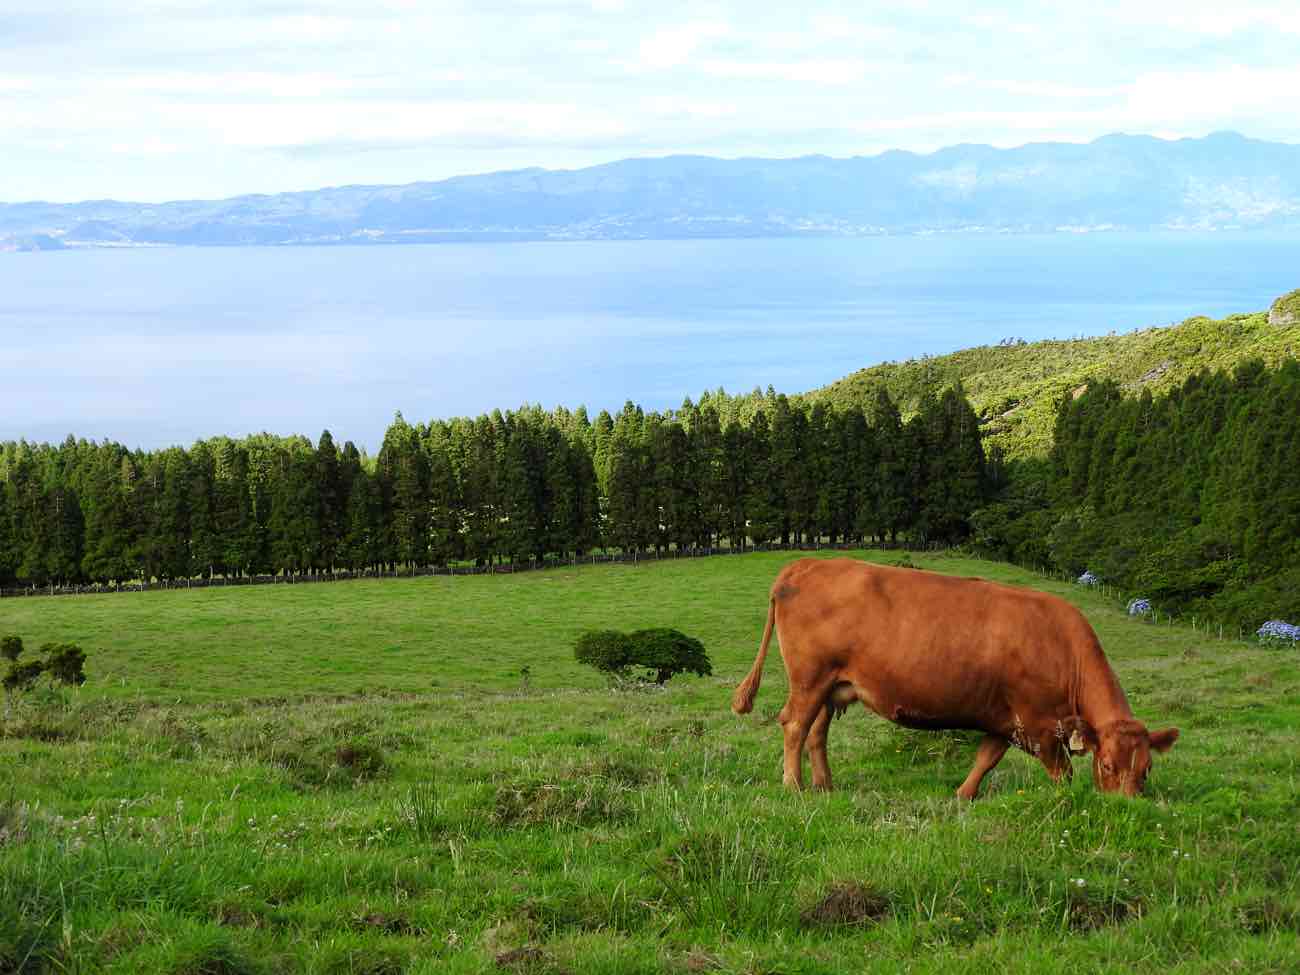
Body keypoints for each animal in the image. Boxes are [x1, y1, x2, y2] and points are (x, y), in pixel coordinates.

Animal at [733, 556, 1180, 800]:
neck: (1065, 651)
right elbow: (1062, 774)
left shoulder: (1005, 719)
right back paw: (794, 786)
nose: (1123, 806)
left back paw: (825, 786)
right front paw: (1064, 800)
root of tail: (807, 564)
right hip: (809, 679)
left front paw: (963, 795)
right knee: (794, 725)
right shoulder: (1041, 726)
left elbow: (986, 759)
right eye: (1106, 765)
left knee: (816, 733)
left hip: (833, 686)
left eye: (1146, 771)